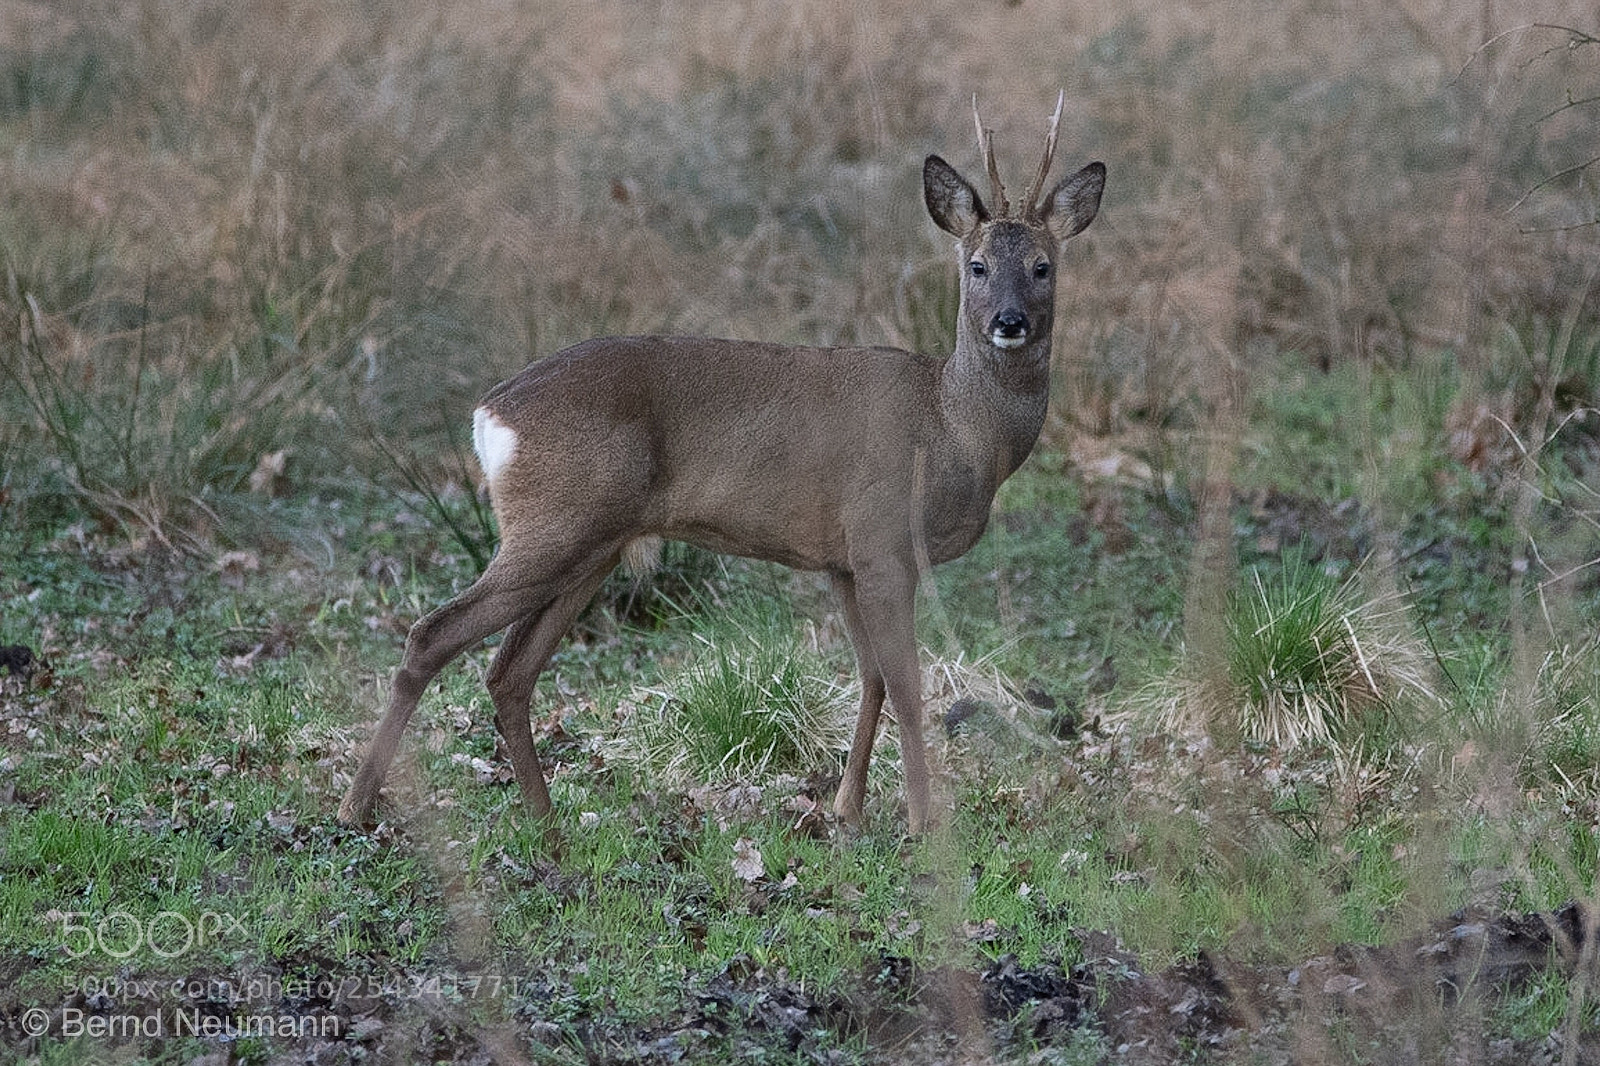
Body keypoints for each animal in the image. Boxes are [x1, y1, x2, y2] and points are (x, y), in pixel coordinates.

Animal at [338, 95, 1105, 836]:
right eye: (977, 266)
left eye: (1043, 266)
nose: (1009, 321)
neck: (951, 428)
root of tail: (489, 414)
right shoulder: (885, 539)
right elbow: (910, 686)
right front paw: (923, 825)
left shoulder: (843, 558)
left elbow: (872, 679)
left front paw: (847, 811)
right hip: (553, 523)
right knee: (432, 635)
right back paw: (357, 805)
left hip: (590, 544)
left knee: (508, 670)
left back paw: (544, 818)